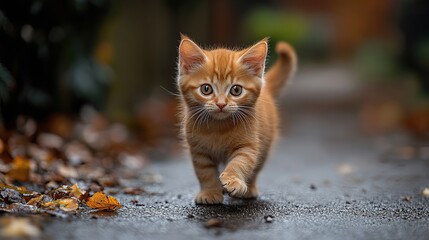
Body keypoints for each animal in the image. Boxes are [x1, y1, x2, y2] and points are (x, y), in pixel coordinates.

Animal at [176, 35, 296, 204]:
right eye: (206, 89)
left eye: (236, 90)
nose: (221, 104)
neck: (218, 127)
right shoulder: (198, 151)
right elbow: (204, 172)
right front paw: (210, 192)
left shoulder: (248, 145)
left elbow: (240, 163)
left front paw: (233, 181)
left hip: (265, 144)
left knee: (256, 168)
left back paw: (249, 189)